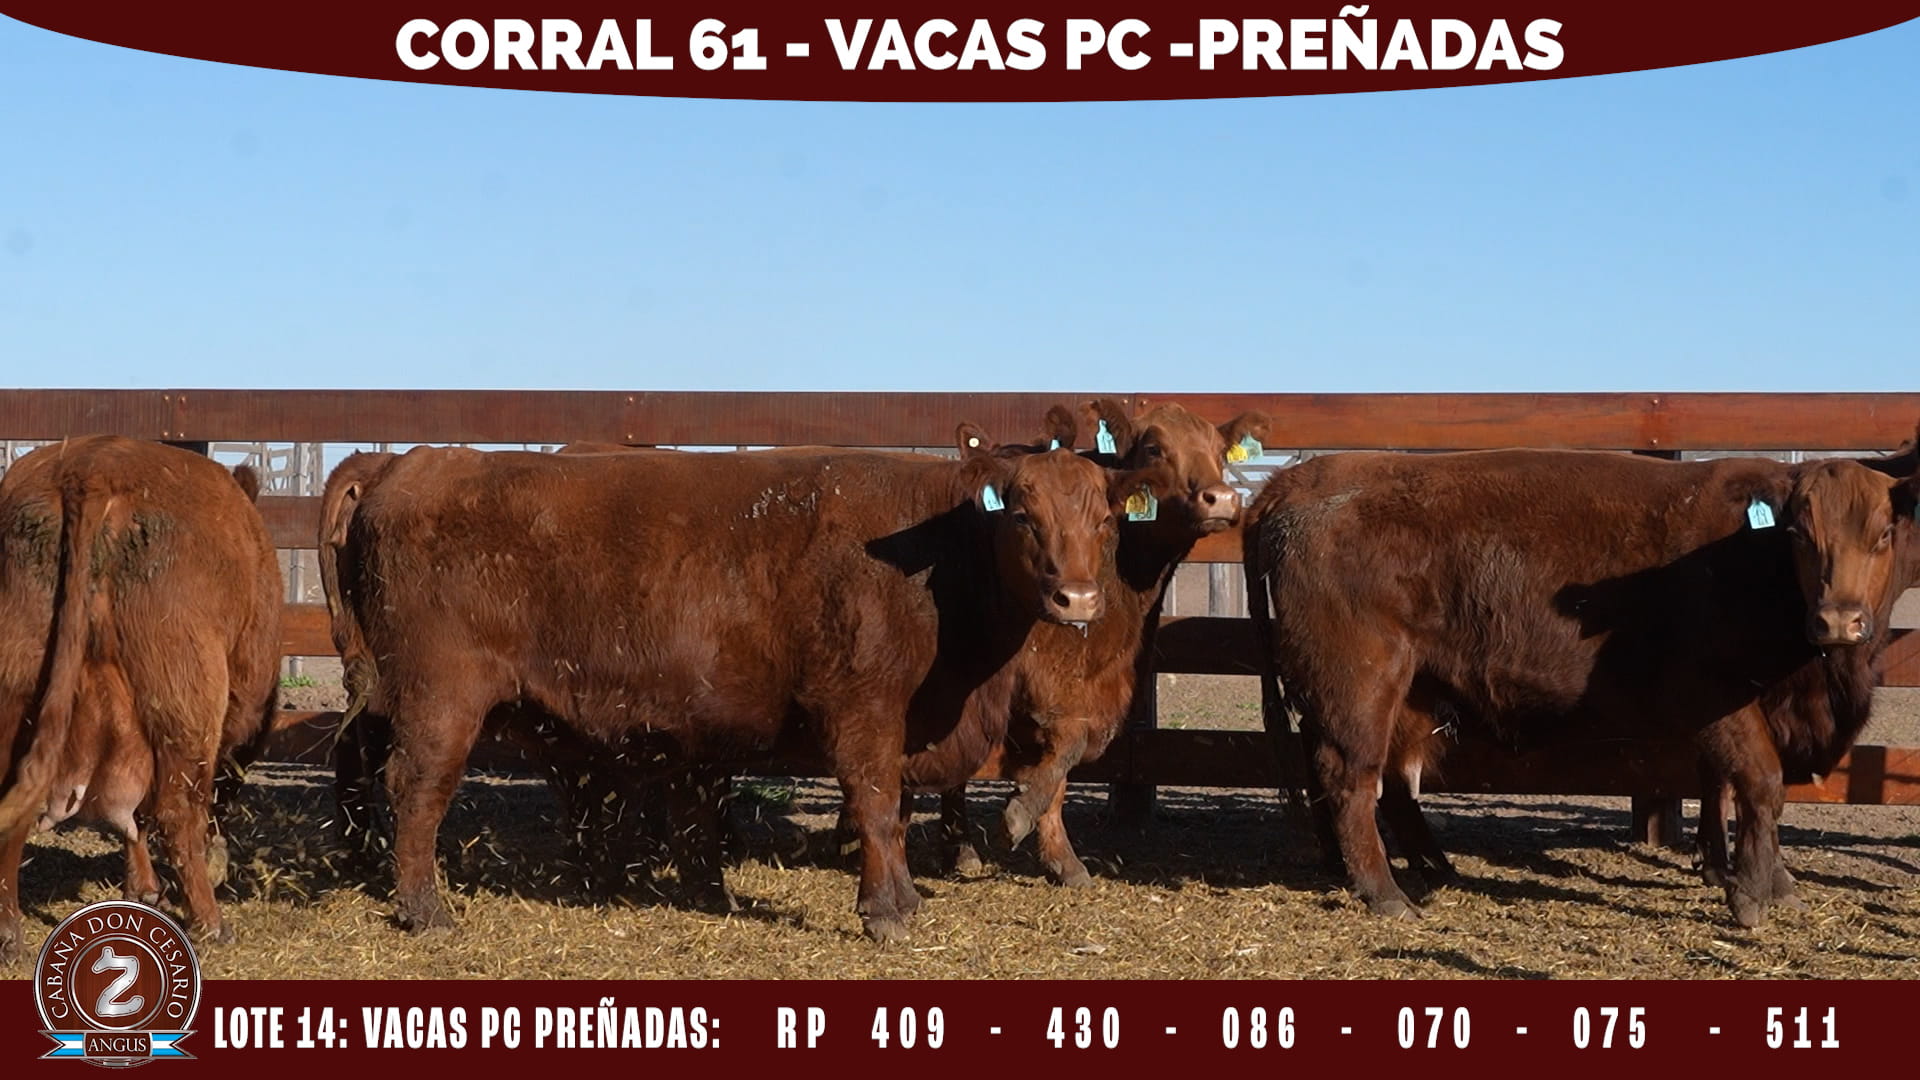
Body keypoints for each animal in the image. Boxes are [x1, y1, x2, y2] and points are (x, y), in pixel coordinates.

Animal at [0, 437, 282, 957]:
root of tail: (89, 469)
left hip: (18, 693)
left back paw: (9, 933)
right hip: (186, 702)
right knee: (177, 810)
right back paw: (209, 922)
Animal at [320, 436, 1173, 942]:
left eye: (1105, 520)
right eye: (1024, 515)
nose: (1077, 600)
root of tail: (408, 460)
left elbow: (891, 811)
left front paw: (900, 899)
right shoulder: (862, 709)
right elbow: (876, 806)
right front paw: (886, 912)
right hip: (440, 699)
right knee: (417, 787)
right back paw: (425, 909)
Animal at [928, 400, 1271, 886]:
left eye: (1221, 451)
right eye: (1154, 448)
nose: (1220, 498)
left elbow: (1060, 767)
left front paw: (1061, 860)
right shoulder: (1044, 679)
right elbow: (1062, 751)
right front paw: (1019, 818)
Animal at [1243, 446, 1917, 928]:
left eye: (1884, 533)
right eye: (1801, 535)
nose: (1837, 621)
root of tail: (1297, 482)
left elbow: (1754, 795)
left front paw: (1777, 885)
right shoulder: (1717, 700)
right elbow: (1761, 783)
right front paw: (1752, 894)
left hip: (1398, 692)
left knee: (1381, 782)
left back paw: (1415, 870)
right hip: (1360, 687)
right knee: (1351, 778)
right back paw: (1386, 895)